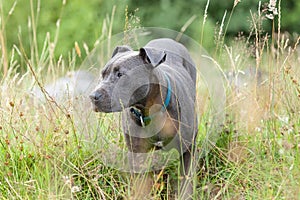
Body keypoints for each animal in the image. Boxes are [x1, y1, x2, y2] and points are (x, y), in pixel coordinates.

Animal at [89, 38, 197, 199]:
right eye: (103, 74)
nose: (93, 96)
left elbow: (186, 181)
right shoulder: (137, 154)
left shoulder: (187, 149)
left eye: (120, 74)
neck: (150, 111)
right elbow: (141, 185)